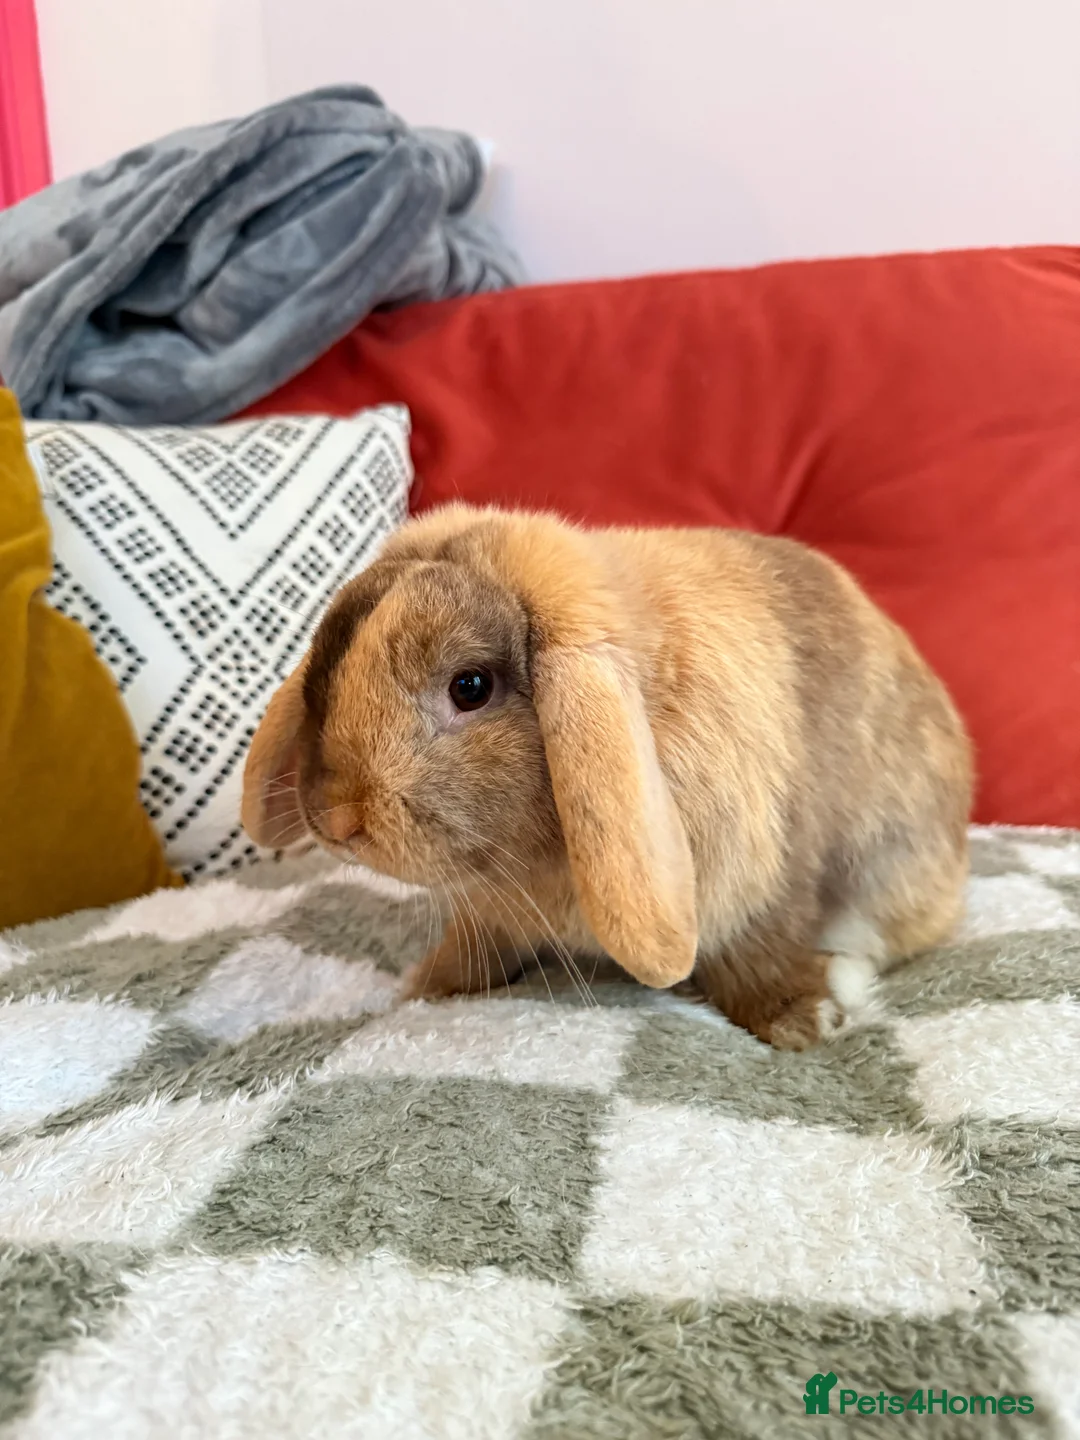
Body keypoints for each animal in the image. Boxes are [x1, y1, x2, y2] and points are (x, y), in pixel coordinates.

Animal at [242, 503, 972, 1049]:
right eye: (324, 663)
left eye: (470, 686)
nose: (335, 818)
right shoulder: (487, 911)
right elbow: (476, 948)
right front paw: (431, 983)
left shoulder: (767, 870)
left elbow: (759, 947)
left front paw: (809, 1018)